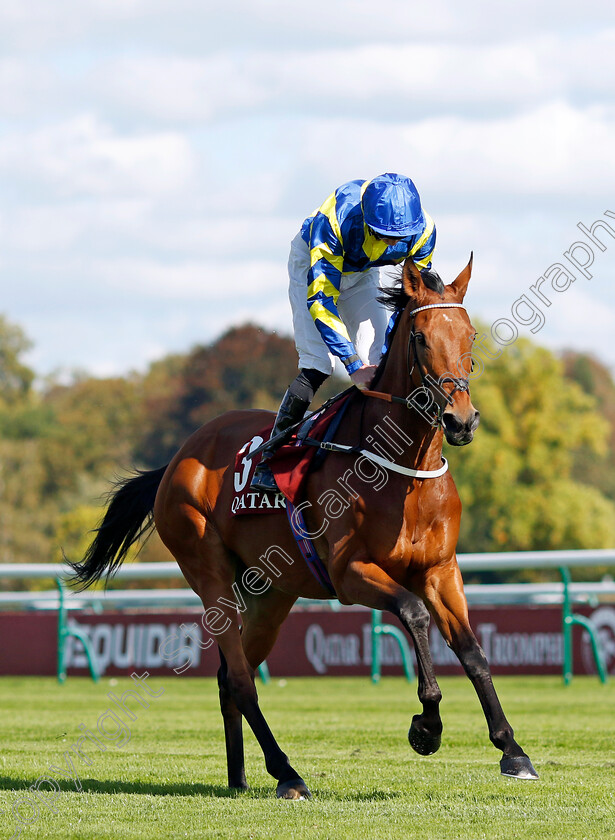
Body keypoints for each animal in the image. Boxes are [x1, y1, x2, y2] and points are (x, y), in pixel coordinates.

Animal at [68, 256, 540, 800]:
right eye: (420, 337)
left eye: (471, 336)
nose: (460, 420)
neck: (404, 472)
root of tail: (176, 459)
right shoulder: (350, 573)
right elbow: (414, 613)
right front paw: (427, 726)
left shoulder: (441, 569)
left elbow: (472, 651)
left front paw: (512, 749)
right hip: (209, 574)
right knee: (241, 679)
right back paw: (286, 772)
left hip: (271, 594)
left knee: (231, 677)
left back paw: (239, 778)